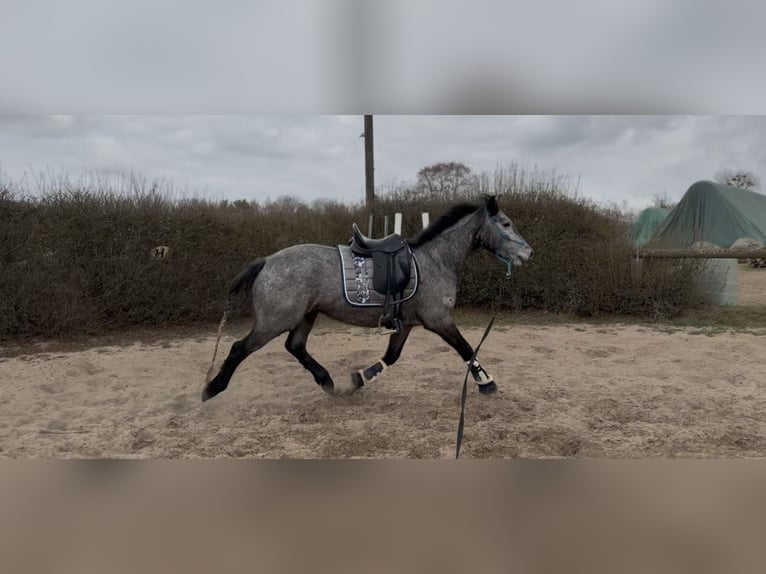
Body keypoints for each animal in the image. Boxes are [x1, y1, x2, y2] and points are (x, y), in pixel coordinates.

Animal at [201, 194, 533, 402]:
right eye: (505, 223)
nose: (528, 253)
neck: (435, 259)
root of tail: (267, 261)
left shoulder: (407, 324)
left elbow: (391, 357)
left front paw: (359, 378)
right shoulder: (438, 320)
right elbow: (466, 348)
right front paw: (487, 382)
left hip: (305, 315)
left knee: (294, 346)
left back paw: (327, 381)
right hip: (275, 320)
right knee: (239, 348)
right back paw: (211, 389)